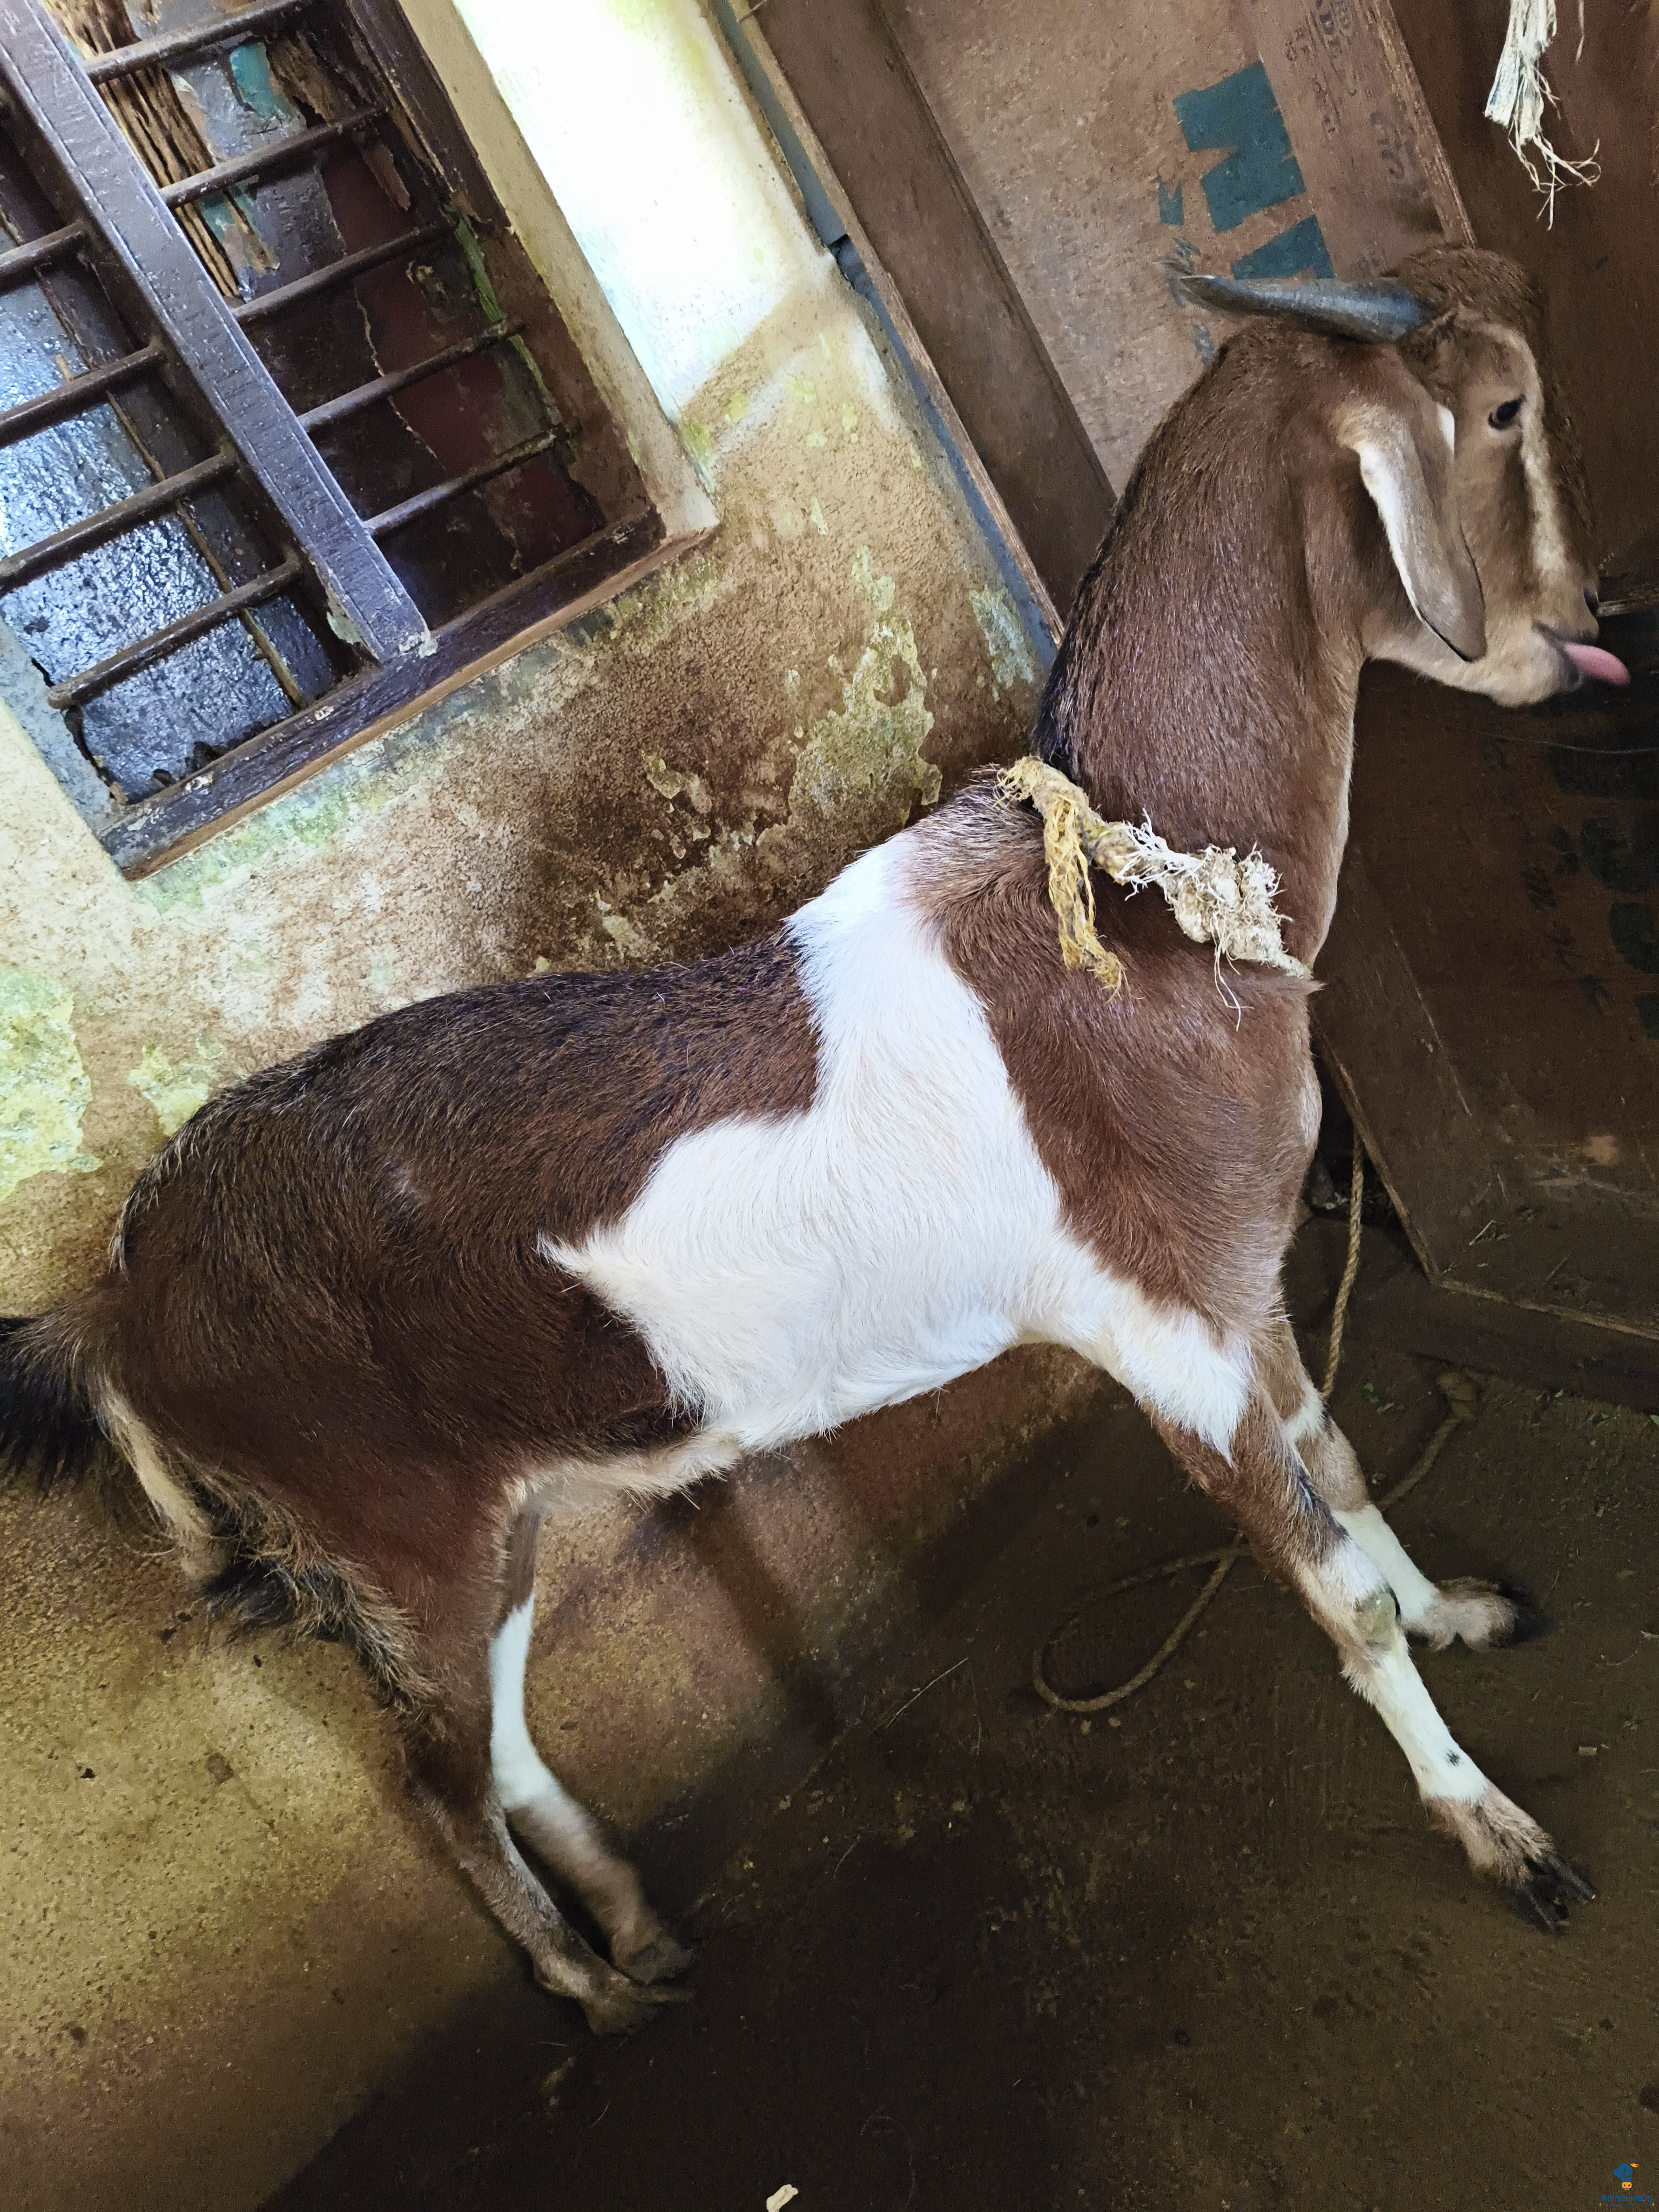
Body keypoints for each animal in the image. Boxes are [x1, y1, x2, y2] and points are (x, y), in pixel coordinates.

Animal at [1, 247, 1622, 2033]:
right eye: (1504, 409)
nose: (1587, 633)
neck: (1131, 921)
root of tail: (115, 1298)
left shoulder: (1242, 1279)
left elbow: (1339, 1458)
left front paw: (1461, 1606)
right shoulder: (1161, 1330)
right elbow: (1334, 1587)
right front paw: (1493, 1830)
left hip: (507, 1520)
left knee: (497, 1744)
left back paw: (639, 1928)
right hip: (396, 1537)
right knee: (435, 1784)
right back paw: (590, 1991)